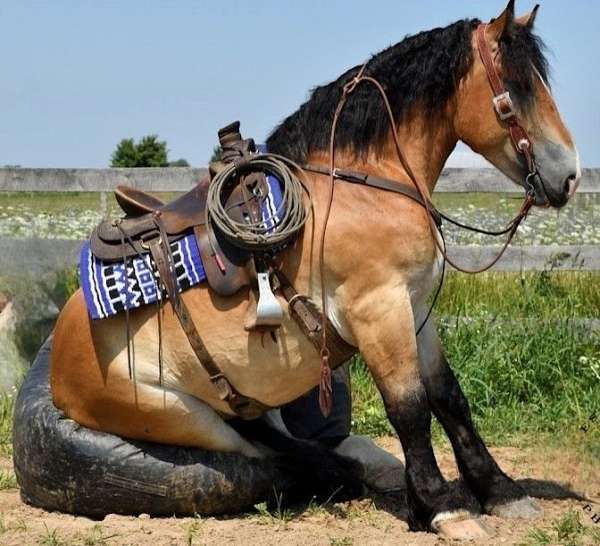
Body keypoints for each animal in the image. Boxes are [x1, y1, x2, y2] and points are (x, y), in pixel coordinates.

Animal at [49, 2, 580, 536]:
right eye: (517, 87)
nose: (571, 175)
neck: (364, 186)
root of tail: (57, 369)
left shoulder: (415, 310)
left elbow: (449, 398)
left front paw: (501, 493)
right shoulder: (378, 311)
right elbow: (409, 408)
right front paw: (443, 507)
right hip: (187, 417)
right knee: (271, 453)